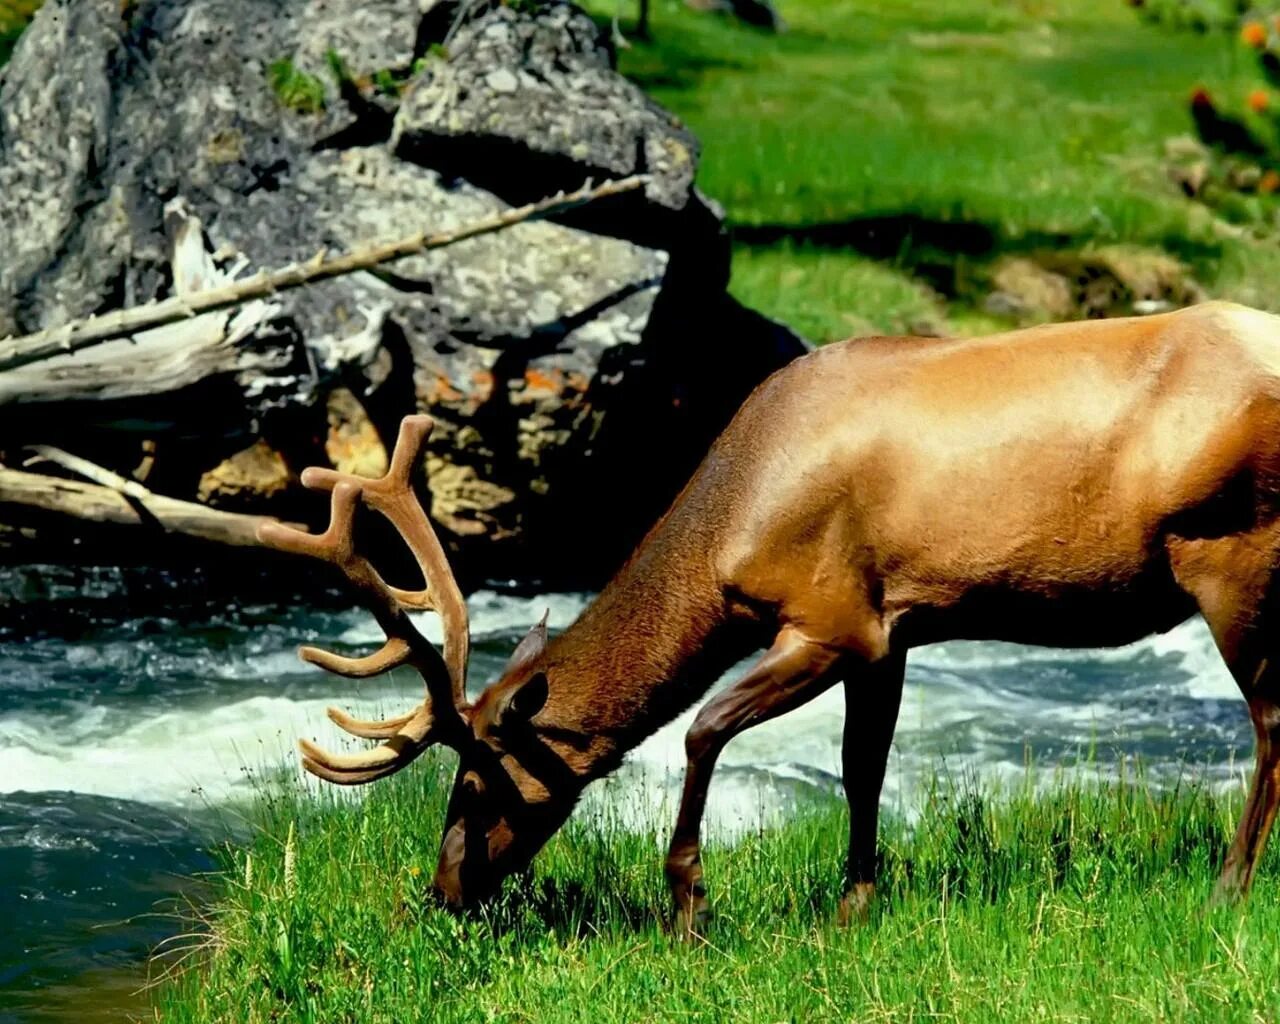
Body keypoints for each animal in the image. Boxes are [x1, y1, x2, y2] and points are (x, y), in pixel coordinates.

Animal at [259, 299, 1280, 942]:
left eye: (478, 787)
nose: (443, 893)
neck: (729, 530)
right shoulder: (890, 627)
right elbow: (863, 767)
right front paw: (854, 905)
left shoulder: (828, 620)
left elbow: (702, 730)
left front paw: (688, 908)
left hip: (1233, 551)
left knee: (1271, 722)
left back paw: (1228, 888)